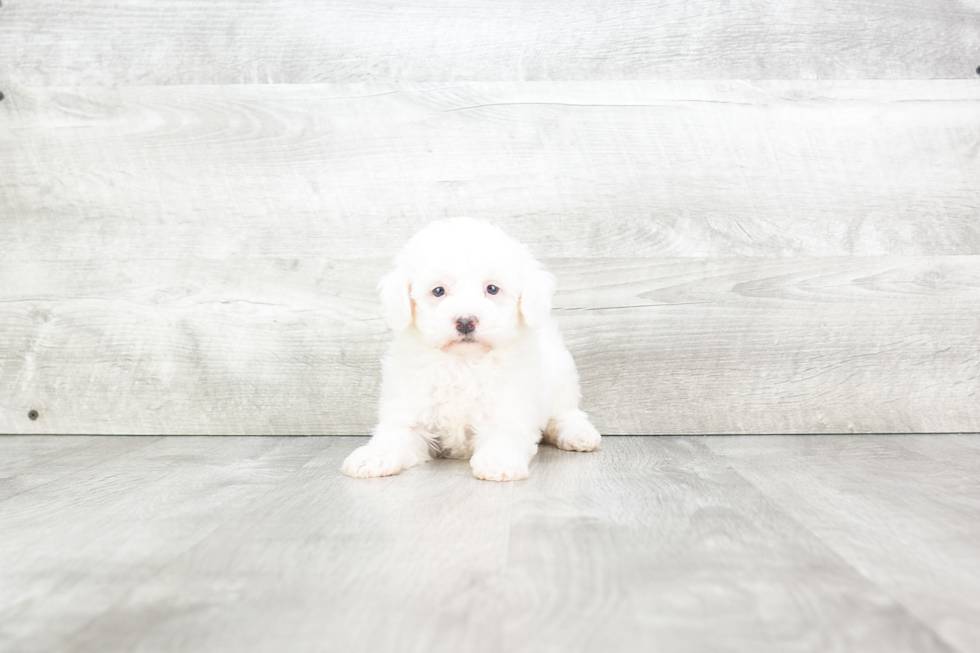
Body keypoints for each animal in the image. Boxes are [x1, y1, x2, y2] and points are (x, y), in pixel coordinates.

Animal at [340, 219, 600, 478]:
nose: (465, 321)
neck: (462, 362)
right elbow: (393, 436)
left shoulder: (508, 406)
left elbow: (504, 434)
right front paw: (372, 457)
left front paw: (499, 461)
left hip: (561, 380)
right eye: (438, 291)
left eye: (492, 289)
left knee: (566, 413)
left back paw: (578, 434)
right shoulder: (410, 409)